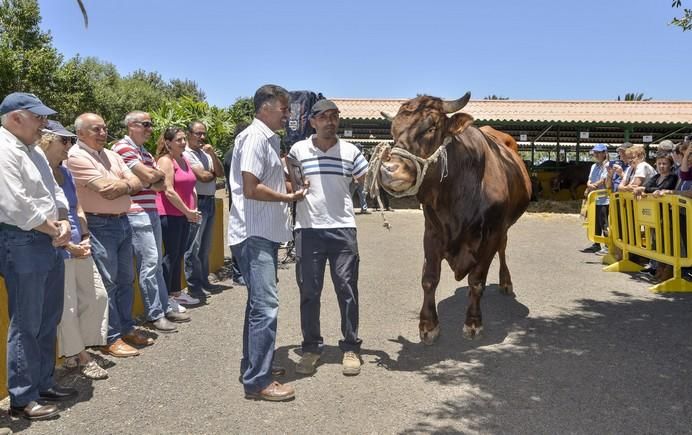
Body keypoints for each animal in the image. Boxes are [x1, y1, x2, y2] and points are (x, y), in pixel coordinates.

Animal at [378, 93, 528, 344]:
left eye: (432, 127)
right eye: (393, 130)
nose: (389, 170)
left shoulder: (492, 234)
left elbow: (476, 280)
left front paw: (473, 323)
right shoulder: (432, 231)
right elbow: (429, 279)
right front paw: (428, 325)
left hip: (505, 227)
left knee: (503, 249)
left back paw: (505, 282)